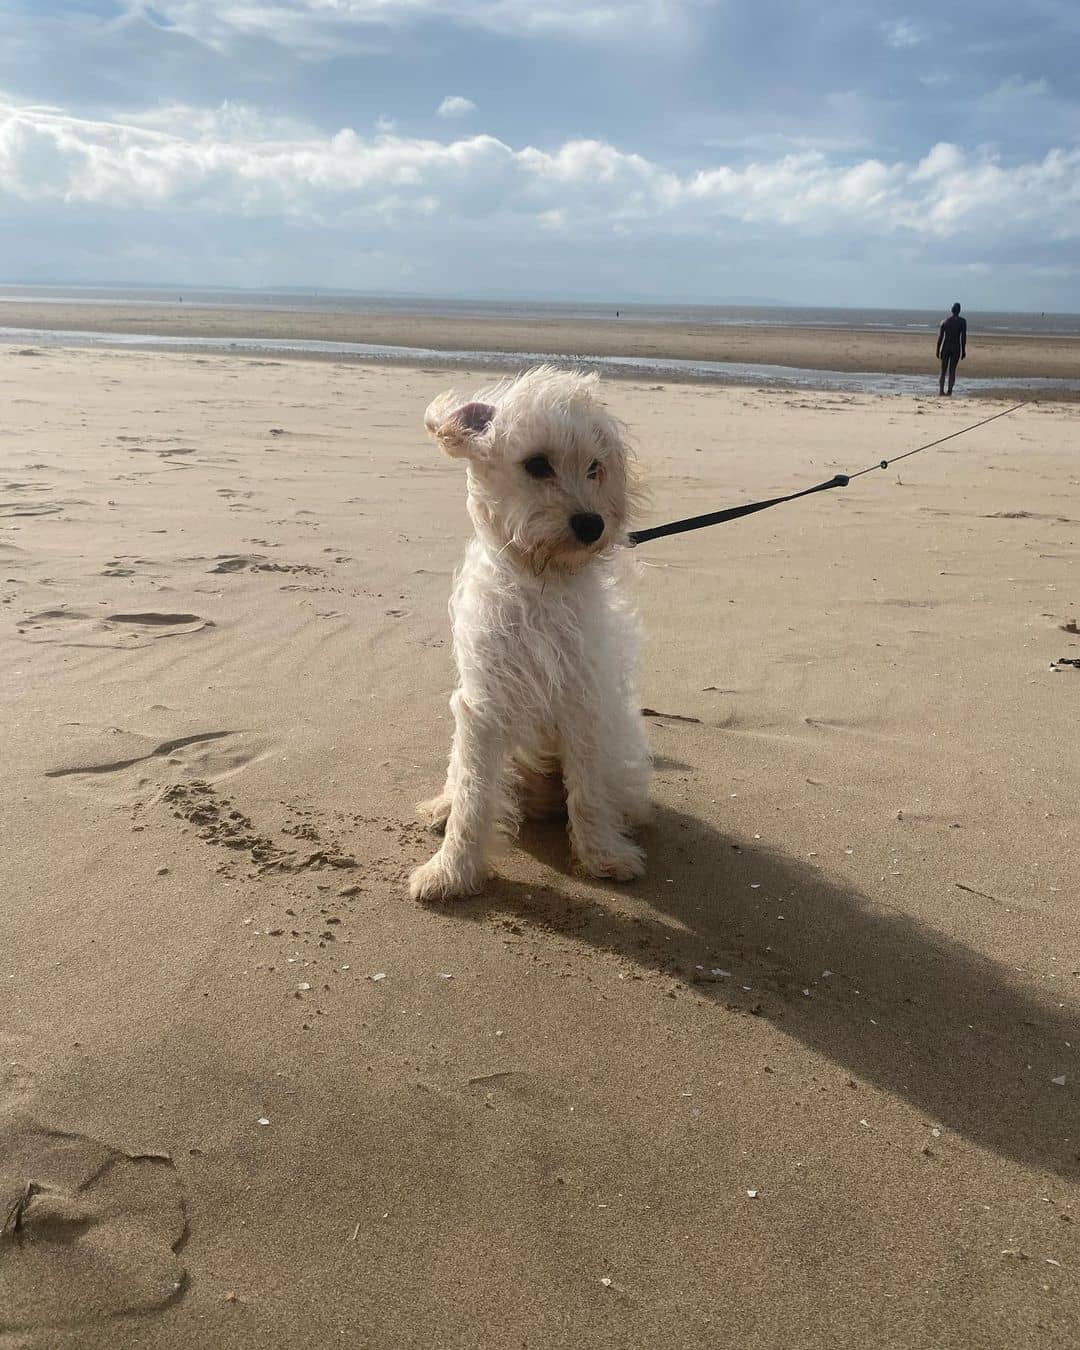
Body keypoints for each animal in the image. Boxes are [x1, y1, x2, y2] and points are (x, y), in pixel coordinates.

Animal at [410, 364, 650, 901]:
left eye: (594, 468)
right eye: (538, 465)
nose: (592, 524)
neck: (541, 584)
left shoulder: (583, 701)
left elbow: (587, 793)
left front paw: (602, 856)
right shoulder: (482, 707)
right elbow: (473, 799)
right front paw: (450, 871)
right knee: (459, 777)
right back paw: (441, 805)